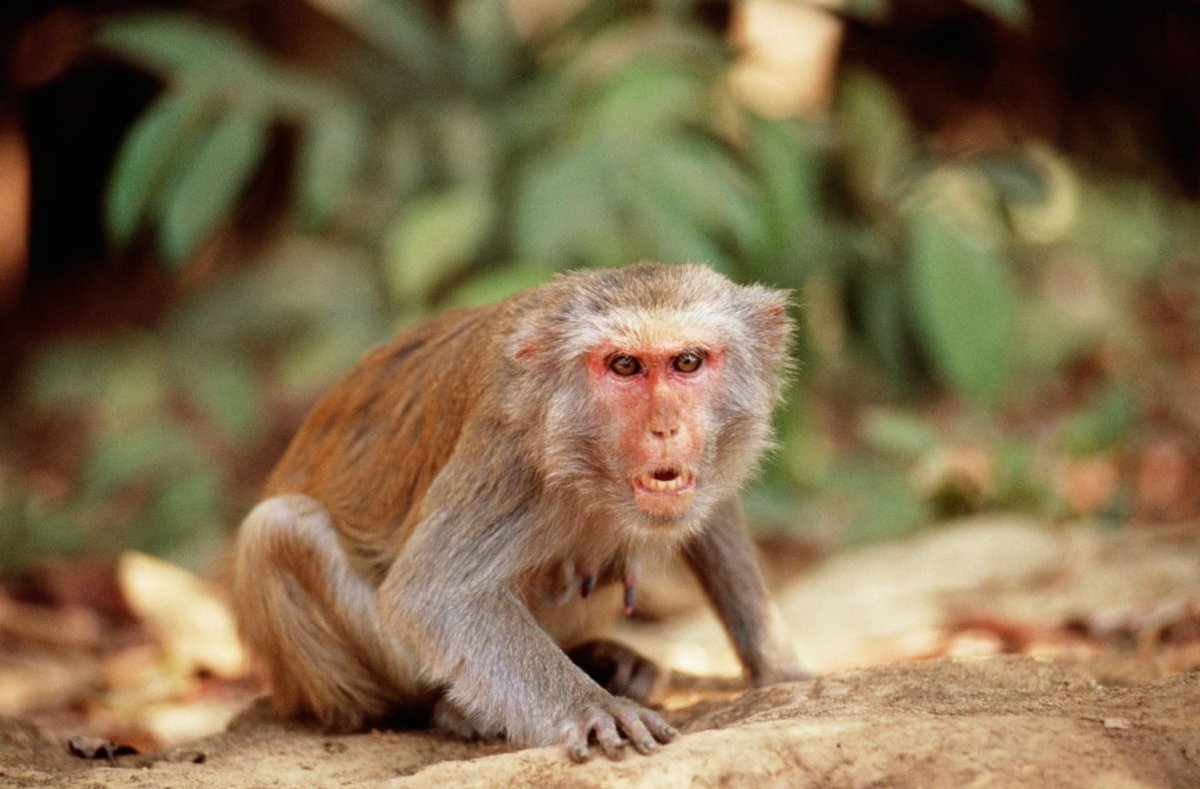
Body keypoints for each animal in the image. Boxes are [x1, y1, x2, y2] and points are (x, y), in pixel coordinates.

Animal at [232, 262, 809, 762]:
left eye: (687, 361)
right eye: (624, 365)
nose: (665, 427)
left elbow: (714, 521)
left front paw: (781, 669)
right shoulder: (510, 453)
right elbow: (436, 594)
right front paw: (592, 708)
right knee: (281, 529)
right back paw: (449, 710)